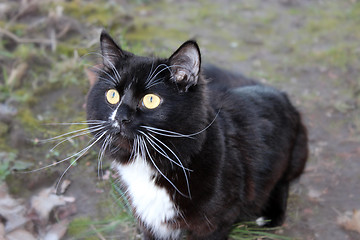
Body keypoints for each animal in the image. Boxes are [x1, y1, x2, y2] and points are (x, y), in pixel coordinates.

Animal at [86, 31, 308, 240]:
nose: (120, 117)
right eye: (112, 95)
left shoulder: (214, 224)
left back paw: (268, 216)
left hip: (293, 156)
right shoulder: (149, 221)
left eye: (150, 100)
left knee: (283, 182)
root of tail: (276, 91)